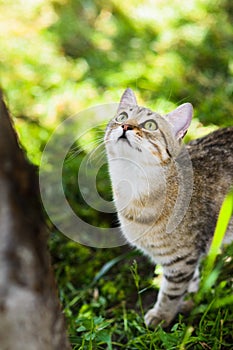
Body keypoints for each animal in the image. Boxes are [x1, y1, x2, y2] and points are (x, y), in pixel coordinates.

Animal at [104, 88, 233, 328]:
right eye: (122, 117)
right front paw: (190, 297)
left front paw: (162, 316)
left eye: (150, 125)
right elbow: (191, 280)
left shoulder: (182, 258)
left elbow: (171, 292)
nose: (125, 126)